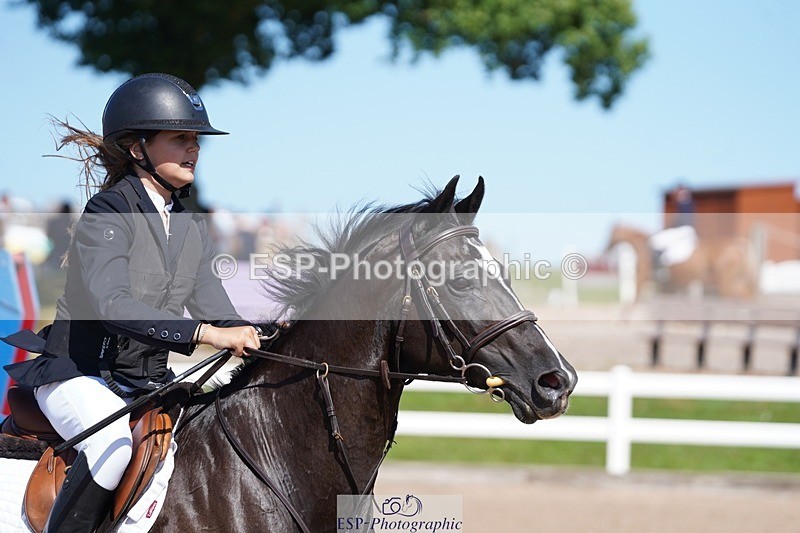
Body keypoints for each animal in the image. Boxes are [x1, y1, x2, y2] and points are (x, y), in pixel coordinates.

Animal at [607, 223, 757, 300]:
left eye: (611, 234)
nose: (605, 248)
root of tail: (738, 243)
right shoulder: (669, 285)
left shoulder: (643, 276)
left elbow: (635, 298)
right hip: (733, 280)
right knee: (744, 296)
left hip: (724, 280)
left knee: (732, 296)